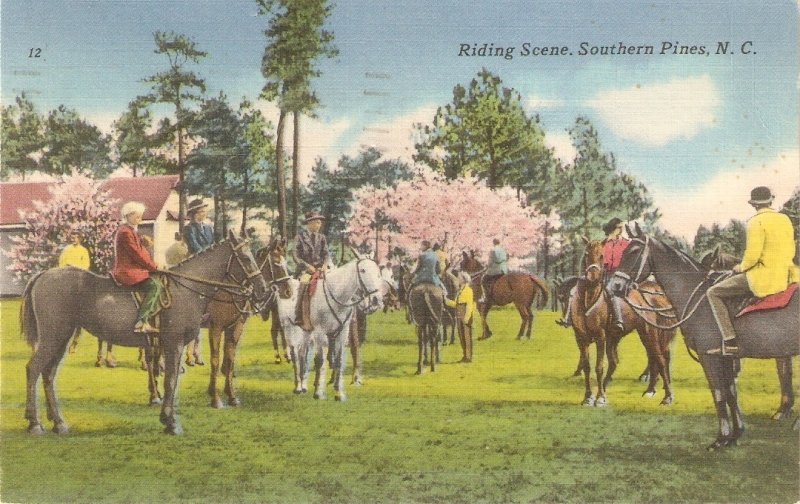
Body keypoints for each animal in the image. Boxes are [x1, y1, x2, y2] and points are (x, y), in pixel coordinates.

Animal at [20, 231, 270, 434]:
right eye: (245, 258)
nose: (263, 289)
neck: (186, 290)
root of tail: (43, 276)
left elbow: (175, 378)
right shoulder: (174, 343)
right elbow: (171, 380)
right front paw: (171, 422)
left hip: (61, 338)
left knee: (48, 374)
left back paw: (58, 422)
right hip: (53, 337)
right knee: (33, 369)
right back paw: (35, 423)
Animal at [276, 256, 386, 402]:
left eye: (378, 272)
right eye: (362, 270)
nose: (376, 300)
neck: (336, 296)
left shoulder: (342, 333)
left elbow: (338, 361)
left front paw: (339, 393)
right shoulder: (320, 333)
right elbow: (320, 361)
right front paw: (318, 393)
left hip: (306, 332)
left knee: (302, 354)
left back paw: (304, 386)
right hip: (289, 330)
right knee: (295, 356)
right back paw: (298, 387)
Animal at [568, 238, 676, 408]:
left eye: (601, 256)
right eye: (586, 254)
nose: (593, 277)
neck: (588, 299)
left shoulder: (600, 337)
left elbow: (599, 367)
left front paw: (600, 398)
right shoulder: (581, 338)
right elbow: (587, 366)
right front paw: (588, 397)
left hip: (649, 333)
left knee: (660, 358)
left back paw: (667, 395)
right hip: (631, 335)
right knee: (637, 359)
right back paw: (649, 389)